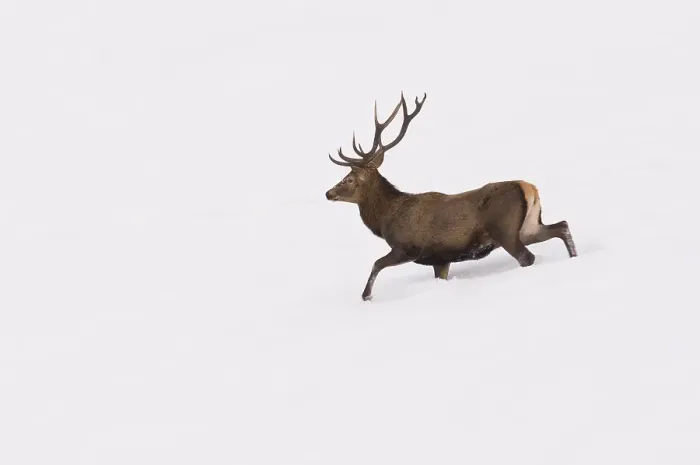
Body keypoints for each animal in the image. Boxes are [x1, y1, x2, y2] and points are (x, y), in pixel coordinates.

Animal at [325, 92, 577, 301]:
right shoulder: (441, 259)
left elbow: (376, 264)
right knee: (562, 226)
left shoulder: (409, 247)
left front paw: (366, 296)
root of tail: (529, 187)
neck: (386, 219)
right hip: (529, 227)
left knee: (528, 257)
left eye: (349, 179)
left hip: (504, 230)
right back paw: (574, 257)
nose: (328, 193)